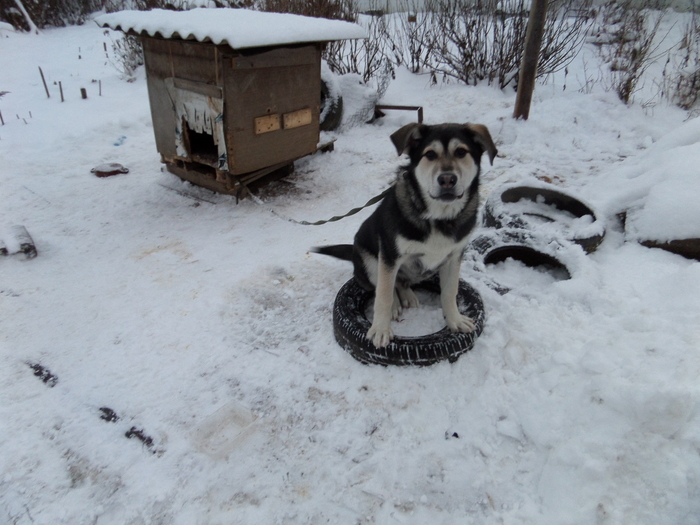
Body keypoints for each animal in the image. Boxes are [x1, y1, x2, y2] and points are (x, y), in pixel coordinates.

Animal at [312, 123, 498, 348]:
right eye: (430, 154)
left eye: (461, 152)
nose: (447, 179)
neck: (438, 217)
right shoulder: (390, 255)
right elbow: (383, 295)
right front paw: (380, 330)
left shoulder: (454, 257)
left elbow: (450, 291)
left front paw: (455, 320)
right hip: (369, 259)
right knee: (383, 285)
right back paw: (394, 304)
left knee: (401, 282)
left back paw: (407, 295)